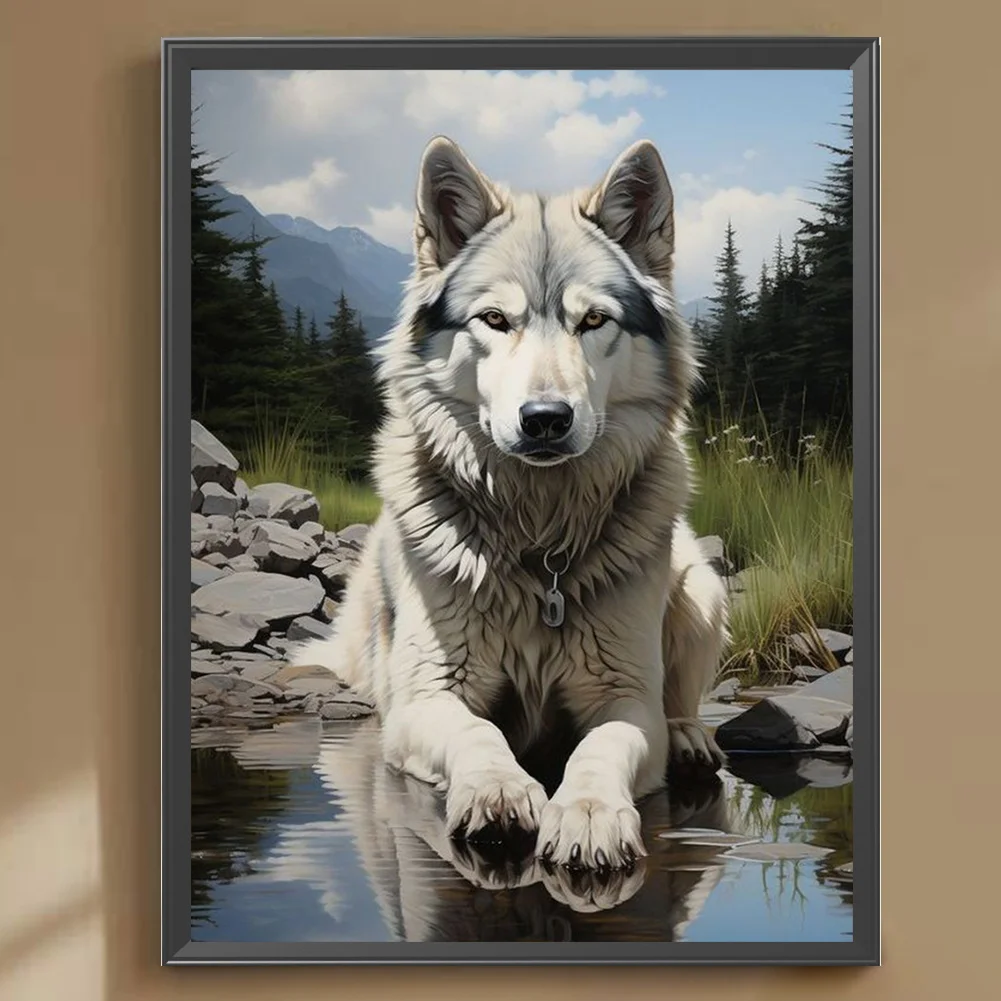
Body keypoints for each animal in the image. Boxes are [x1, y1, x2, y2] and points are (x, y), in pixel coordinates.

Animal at [292, 134, 729, 872]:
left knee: (682, 695)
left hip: (700, 586)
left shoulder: (623, 697)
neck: (536, 540)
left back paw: (689, 737)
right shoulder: (428, 697)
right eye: (495, 320)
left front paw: (588, 813)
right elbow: (478, 734)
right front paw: (498, 790)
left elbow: (600, 747)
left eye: (593, 321)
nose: (545, 419)